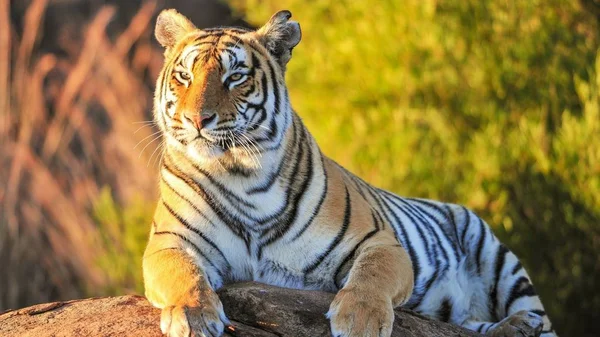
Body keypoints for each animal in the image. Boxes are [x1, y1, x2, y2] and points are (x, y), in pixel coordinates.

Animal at [144, 7, 556, 336]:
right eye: (184, 77)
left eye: (235, 77)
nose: (197, 119)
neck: (240, 174)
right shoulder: (169, 241)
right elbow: (183, 274)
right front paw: (193, 316)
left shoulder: (380, 242)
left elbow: (371, 276)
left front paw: (361, 321)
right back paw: (513, 329)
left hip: (500, 260)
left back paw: (525, 323)